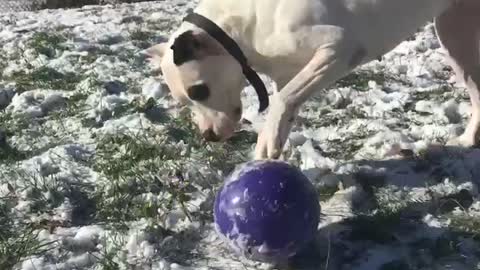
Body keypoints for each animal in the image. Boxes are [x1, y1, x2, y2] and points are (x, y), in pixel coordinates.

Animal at [147, 0, 480, 160]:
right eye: (185, 101)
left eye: (199, 91)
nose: (208, 136)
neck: (240, 26)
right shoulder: (288, 74)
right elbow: (287, 105)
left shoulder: (339, 48)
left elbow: (283, 101)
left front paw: (265, 142)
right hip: (455, 37)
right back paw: (467, 139)